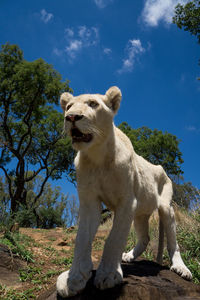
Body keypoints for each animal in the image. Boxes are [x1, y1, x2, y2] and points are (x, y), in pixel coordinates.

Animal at [56, 86, 192, 298]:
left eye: (93, 104)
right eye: (68, 106)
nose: (71, 117)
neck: (97, 156)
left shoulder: (127, 202)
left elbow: (114, 239)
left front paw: (108, 274)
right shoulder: (89, 201)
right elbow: (82, 238)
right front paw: (74, 277)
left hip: (165, 207)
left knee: (172, 242)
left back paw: (181, 269)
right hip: (140, 214)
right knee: (145, 238)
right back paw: (128, 256)